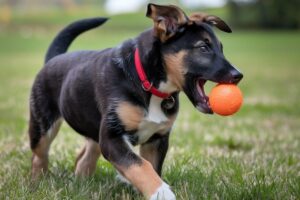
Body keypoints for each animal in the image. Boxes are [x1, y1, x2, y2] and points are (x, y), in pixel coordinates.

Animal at [29, 3, 243, 200]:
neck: (148, 83)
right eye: (203, 48)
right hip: (42, 124)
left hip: (95, 131)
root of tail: (55, 58)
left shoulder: (157, 139)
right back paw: (38, 183)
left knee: (83, 159)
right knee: (39, 156)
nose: (238, 75)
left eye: (221, 48)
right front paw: (162, 192)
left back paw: (82, 185)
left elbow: (149, 167)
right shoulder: (112, 137)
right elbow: (139, 165)